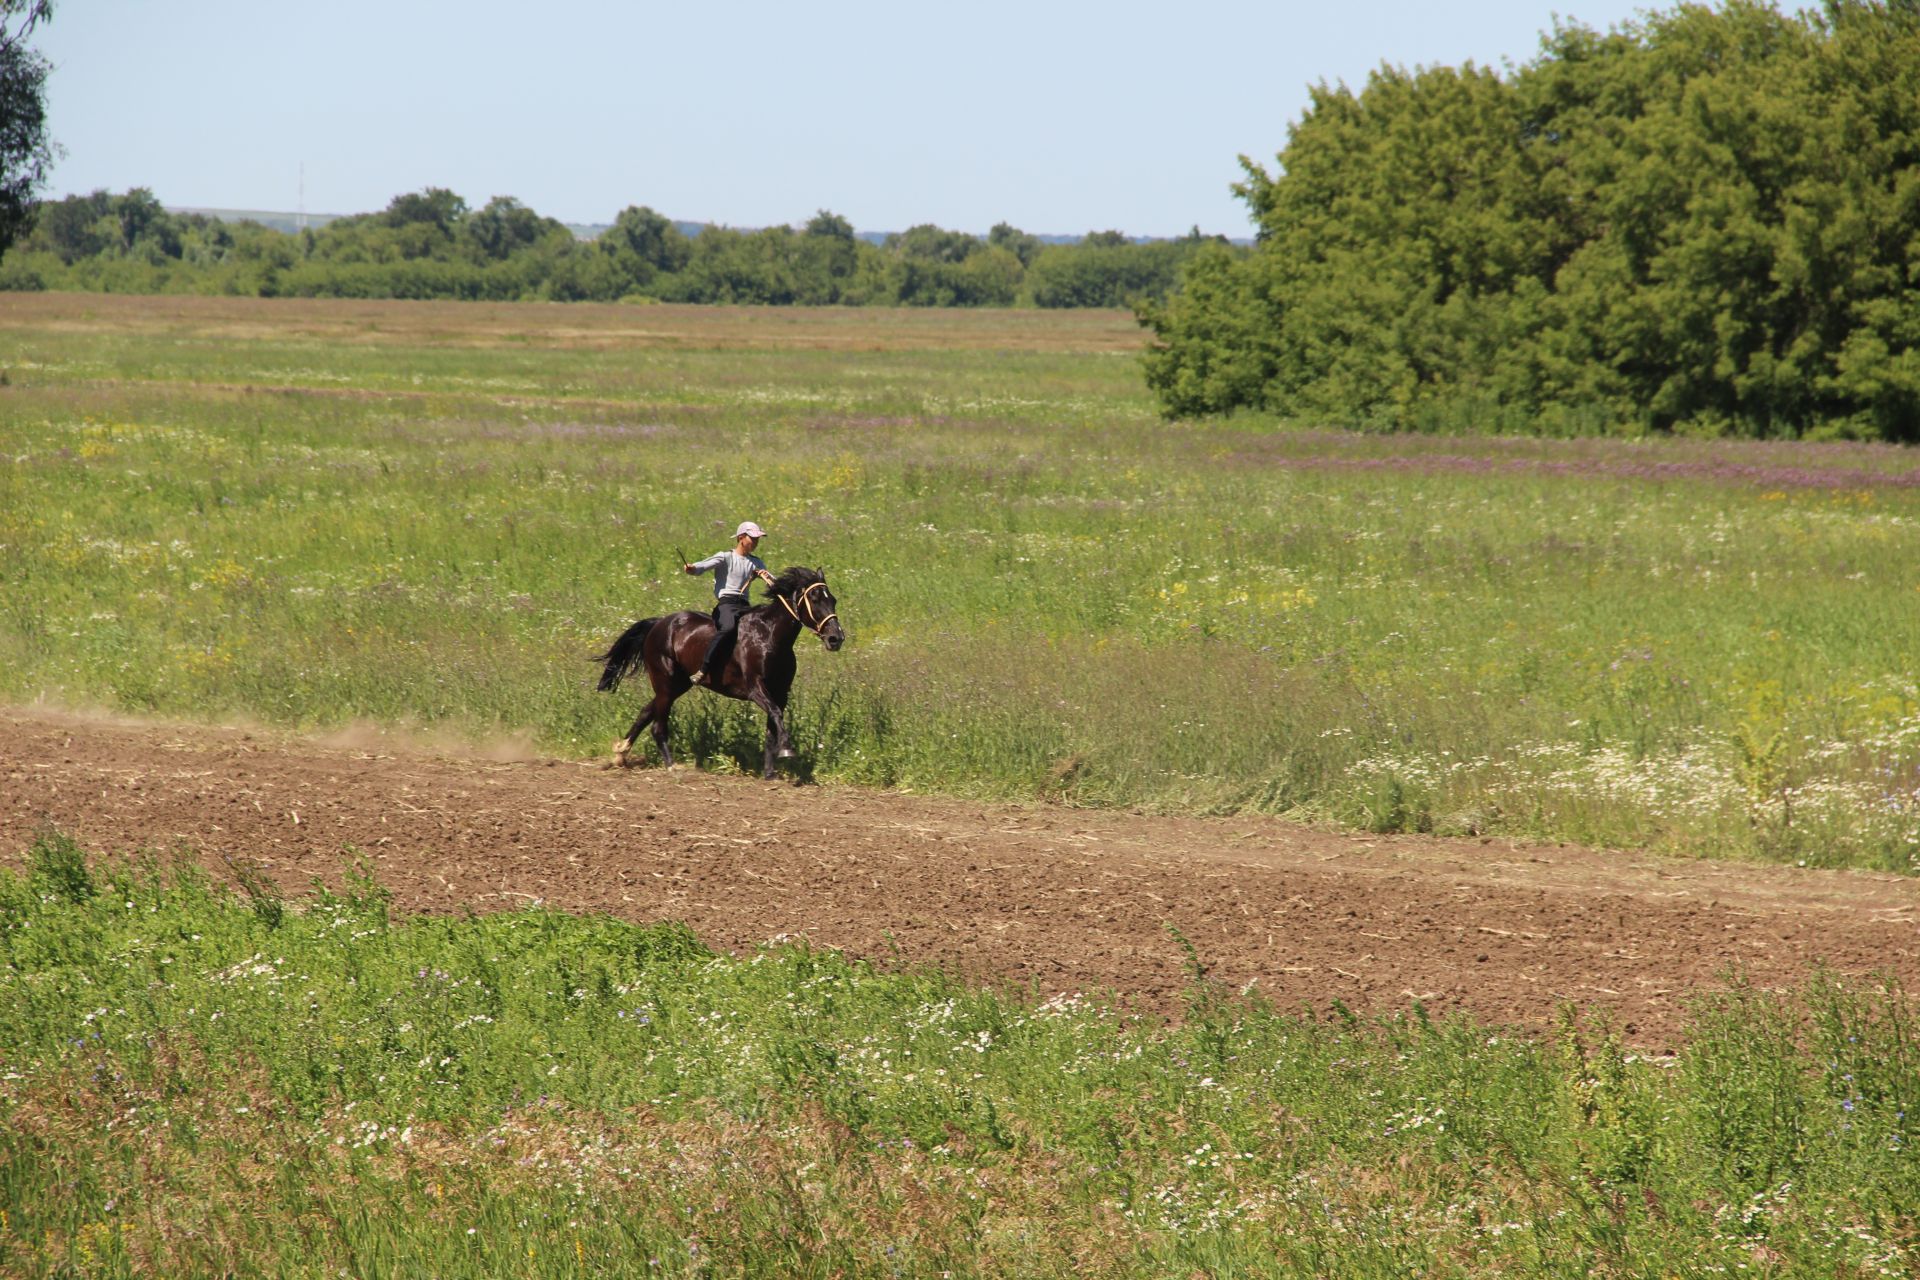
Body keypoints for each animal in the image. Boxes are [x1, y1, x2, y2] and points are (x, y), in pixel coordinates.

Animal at [591, 571, 848, 782]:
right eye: (814, 598)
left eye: (833, 599)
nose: (836, 638)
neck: (770, 636)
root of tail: (658, 623)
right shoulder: (756, 688)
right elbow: (775, 716)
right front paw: (787, 749)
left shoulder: (780, 693)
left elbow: (771, 727)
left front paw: (770, 772)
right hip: (665, 682)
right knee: (658, 725)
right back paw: (671, 766)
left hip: (678, 685)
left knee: (646, 712)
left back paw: (621, 754)